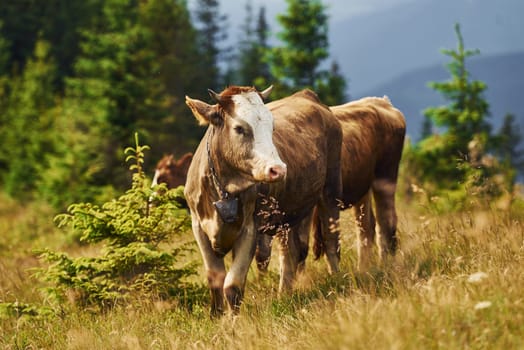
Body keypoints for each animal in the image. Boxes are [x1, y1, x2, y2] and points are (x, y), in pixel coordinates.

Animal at [184, 85, 344, 318]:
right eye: (239, 128)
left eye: (271, 126)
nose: (278, 169)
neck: (224, 190)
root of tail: (308, 96)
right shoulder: (199, 227)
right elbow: (215, 279)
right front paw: (216, 316)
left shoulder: (250, 228)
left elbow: (233, 285)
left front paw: (233, 321)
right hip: (288, 214)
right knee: (290, 252)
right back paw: (284, 294)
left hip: (331, 192)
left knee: (331, 242)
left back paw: (337, 279)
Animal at [256, 95, 408, 274]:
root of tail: (382, 102)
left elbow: (300, 247)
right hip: (363, 189)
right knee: (366, 227)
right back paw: (363, 268)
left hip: (385, 177)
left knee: (385, 223)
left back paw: (385, 265)